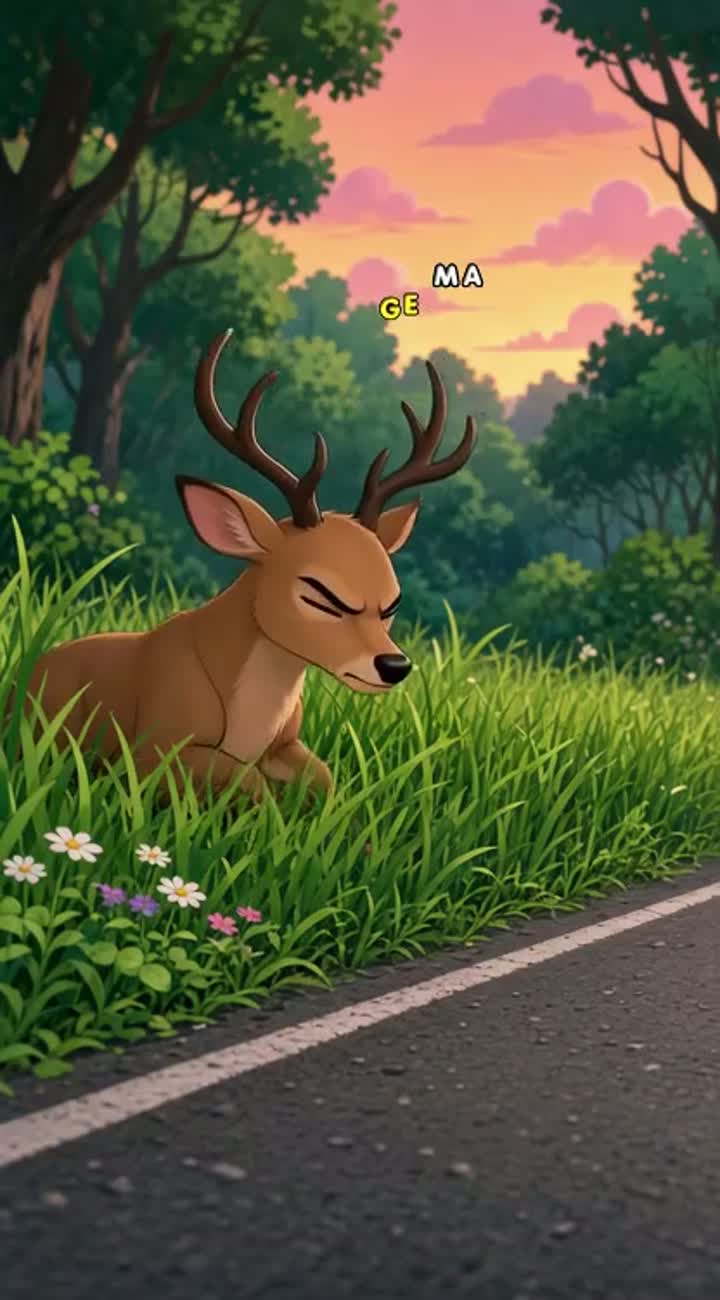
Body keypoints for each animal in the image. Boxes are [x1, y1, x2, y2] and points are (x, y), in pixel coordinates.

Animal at [23, 329, 476, 803]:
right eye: (320, 594)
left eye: (393, 603)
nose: (395, 666)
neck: (249, 721)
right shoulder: (154, 750)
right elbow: (248, 779)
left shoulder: (288, 743)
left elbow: (324, 777)